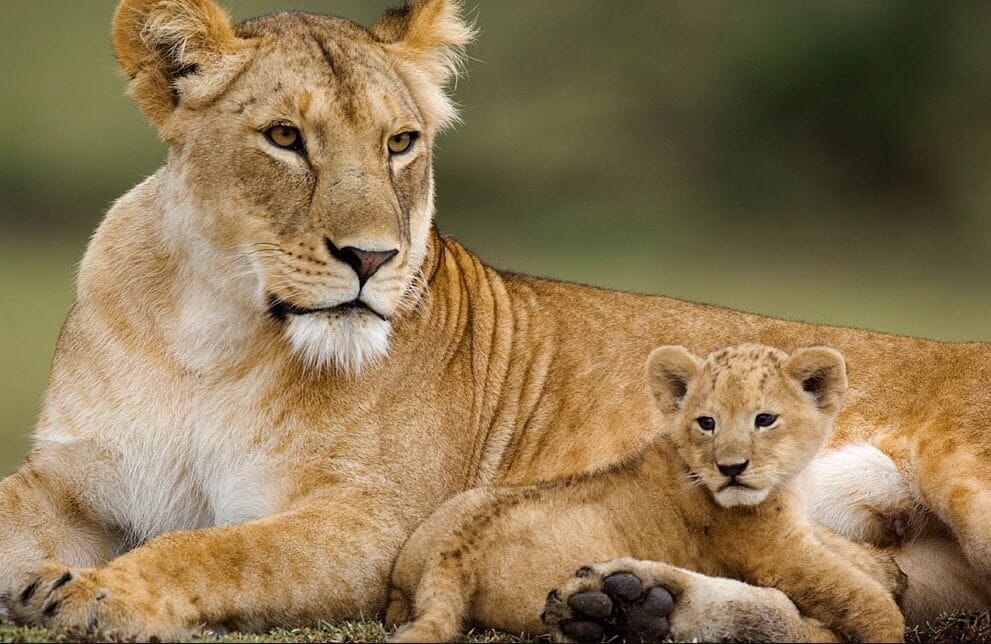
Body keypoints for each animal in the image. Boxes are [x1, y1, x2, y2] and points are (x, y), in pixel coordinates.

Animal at [385, 344, 906, 643]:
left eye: (765, 419)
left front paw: (890, 571)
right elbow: (857, 595)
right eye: (707, 422)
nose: (731, 468)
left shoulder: (800, 532)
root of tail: (456, 551)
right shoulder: (775, 553)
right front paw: (885, 617)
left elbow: (842, 551)